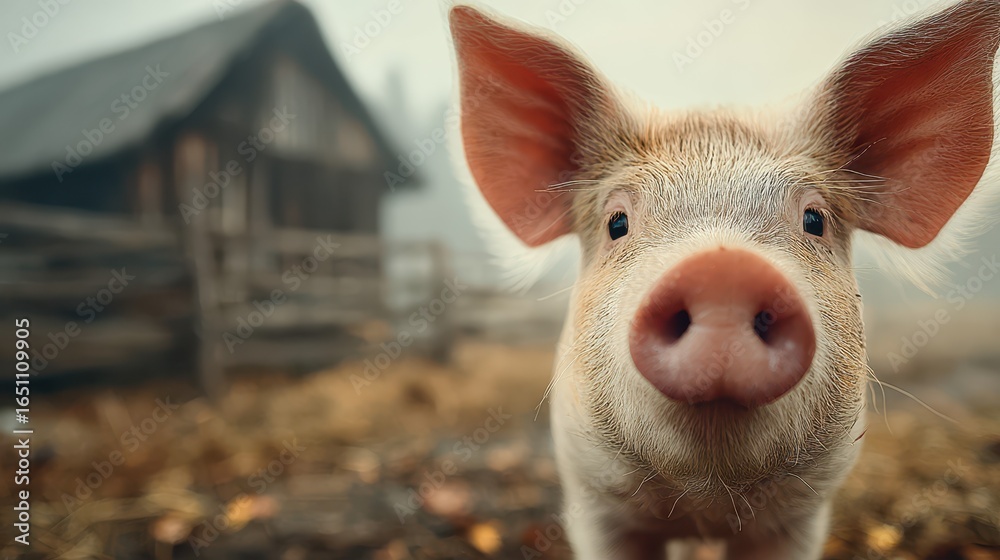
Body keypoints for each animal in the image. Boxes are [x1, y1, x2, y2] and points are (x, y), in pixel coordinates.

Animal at [449, 1, 1000, 558]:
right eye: (616, 223)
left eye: (814, 219)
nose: (723, 270)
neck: (707, 503)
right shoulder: (595, 504)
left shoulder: (802, 517)